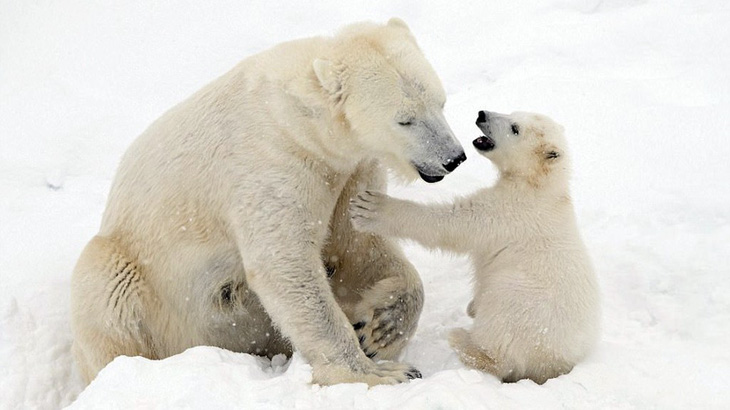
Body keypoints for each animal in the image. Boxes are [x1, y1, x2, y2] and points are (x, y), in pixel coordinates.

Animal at [69, 17, 466, 386]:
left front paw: (379, 328)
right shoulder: (271, 161)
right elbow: (285, 264)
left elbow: (357, 243)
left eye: (441, 103)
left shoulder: (350, 171)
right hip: (135, 272)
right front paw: (380, 373)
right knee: (106, 289)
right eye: (405, 120)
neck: (300, 117)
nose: (453, 158)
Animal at [352, 109, 596, 384]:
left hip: (523, 304)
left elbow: (454, 223)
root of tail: (554, 366)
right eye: (513, 113)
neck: (539, 186)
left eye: (514, 128)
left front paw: (370, 207)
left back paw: (461, 338)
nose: (482, 114)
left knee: (501, 341)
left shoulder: (509, 211)